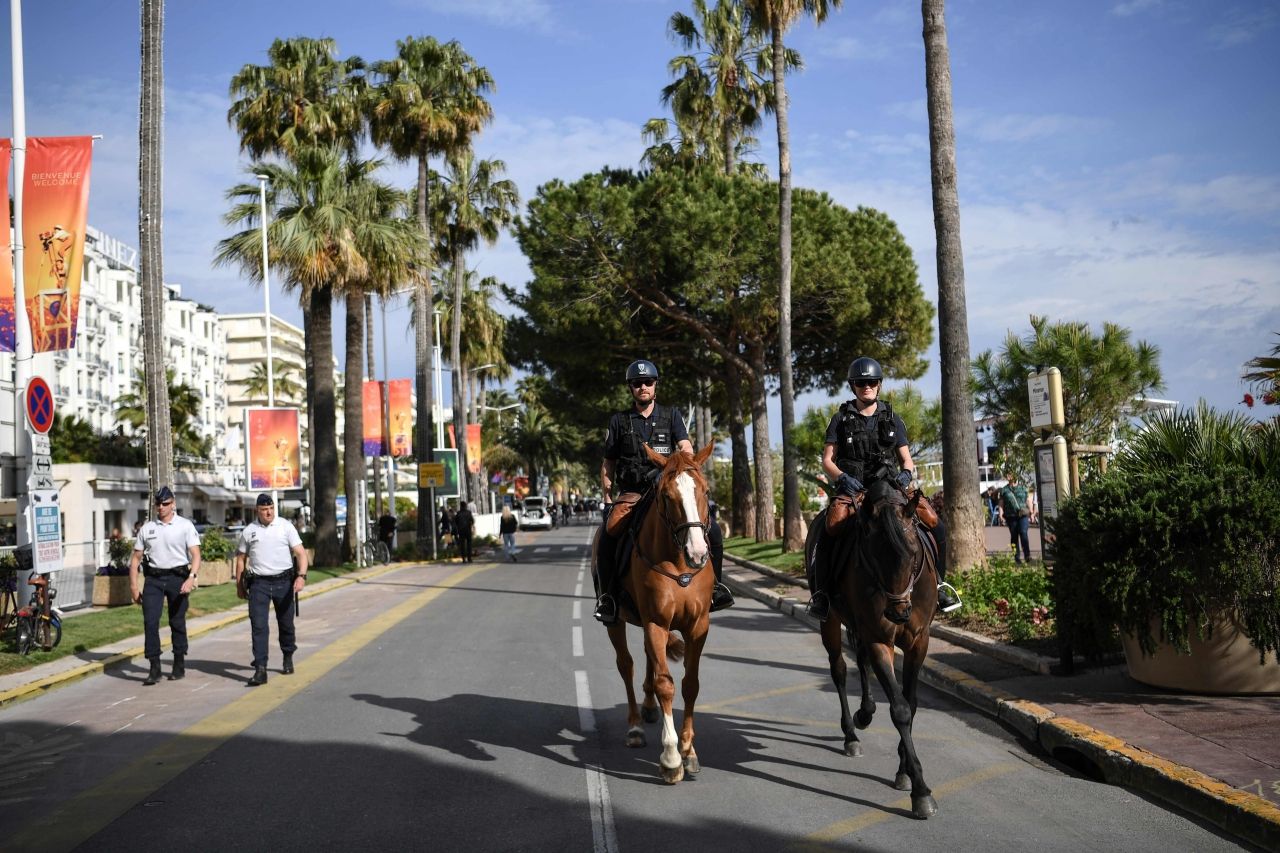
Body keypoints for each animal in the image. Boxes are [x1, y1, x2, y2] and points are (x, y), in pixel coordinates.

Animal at [591, 440, 716, 778]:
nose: (698, 553)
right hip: (616, 621)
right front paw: (671, 756)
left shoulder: (698, 625)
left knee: (649, 658)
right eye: (666, 496)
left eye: (706, 491)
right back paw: (635, 725)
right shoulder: (656, 622)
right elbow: (666, 684)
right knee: (627, 664)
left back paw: (648, 709)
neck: (678, 561)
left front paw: (689, 749)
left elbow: (690, 684)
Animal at [803, 479, 947, 819]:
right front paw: (920, 790)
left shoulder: (918, 641)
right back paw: (851, 733)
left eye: (913, 553)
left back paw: (865, 713)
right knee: (840, 671)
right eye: (873, 555)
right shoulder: (881, 639)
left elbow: (911, 703)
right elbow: (900, 709)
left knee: (860, 661)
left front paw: (904, 771)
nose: (898, 612)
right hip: (831, 622)